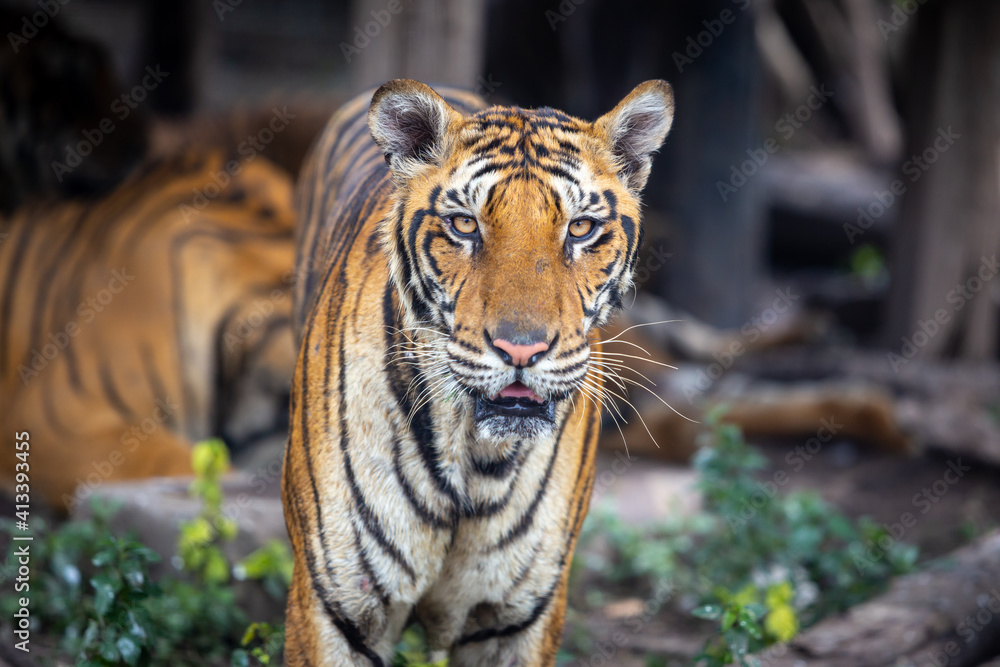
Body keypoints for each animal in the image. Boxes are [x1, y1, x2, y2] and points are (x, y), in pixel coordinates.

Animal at [283, 79, 675, 666]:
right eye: (464, 225)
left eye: (581, 228)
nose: (521, 349)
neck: (474, 458)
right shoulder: (336, 607)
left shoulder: (515, 618)